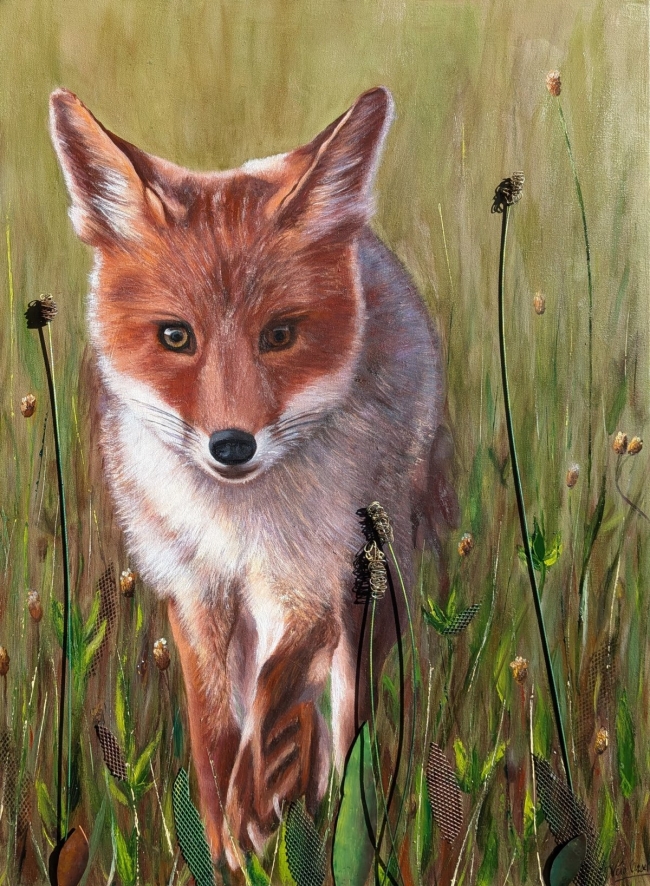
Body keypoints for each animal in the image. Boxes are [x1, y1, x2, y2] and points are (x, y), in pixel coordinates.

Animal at [49, 85, 458, 868]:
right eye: (175, 336)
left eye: (280, 336)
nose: (231, 446)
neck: (235, 522)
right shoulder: (193, 586)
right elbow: (215, 731)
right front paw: (224, 839)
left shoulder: (308, 583)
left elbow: (277, 701)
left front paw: (258, 815)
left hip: (371, 582)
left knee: (348, 715)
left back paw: (337, 807)